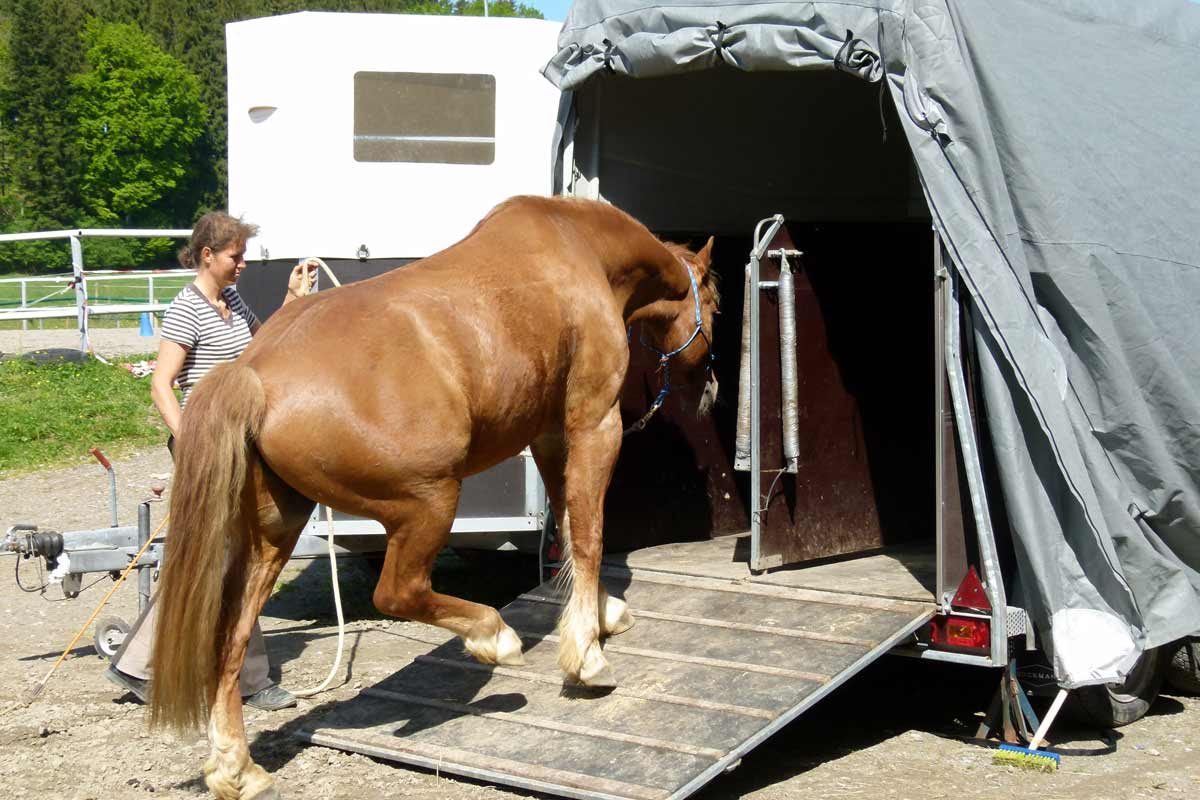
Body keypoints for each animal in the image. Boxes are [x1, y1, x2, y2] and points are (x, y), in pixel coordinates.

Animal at [147, 195, 719, 800]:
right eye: (716, 302)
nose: (710, 387)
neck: (578, 250)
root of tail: (253, 374)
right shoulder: (594, 422)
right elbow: (588, 533)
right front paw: (587, 655)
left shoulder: (548, 434)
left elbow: (565, 522)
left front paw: (603, 614)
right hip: (429, 503)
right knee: (397, 592)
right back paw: (494, 636)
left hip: (277, 529)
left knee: (231, 636)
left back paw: (237, 768)